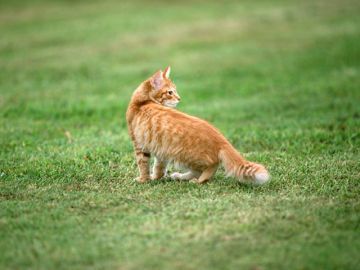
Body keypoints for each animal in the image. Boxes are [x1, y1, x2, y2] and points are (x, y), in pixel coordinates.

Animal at [125, 66, 268, 185]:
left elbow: (143, 165)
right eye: (170, 92)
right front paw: (156, 177)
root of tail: (222, 140)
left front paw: (143, 179)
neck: (142, 103)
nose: (179, 98)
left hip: (183, 156)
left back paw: (197, 181)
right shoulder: (160, 150)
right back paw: (180, 176)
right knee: (198, 170)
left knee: (211, 167)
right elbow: (159, 167)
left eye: (174, 91)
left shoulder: (139, 145)